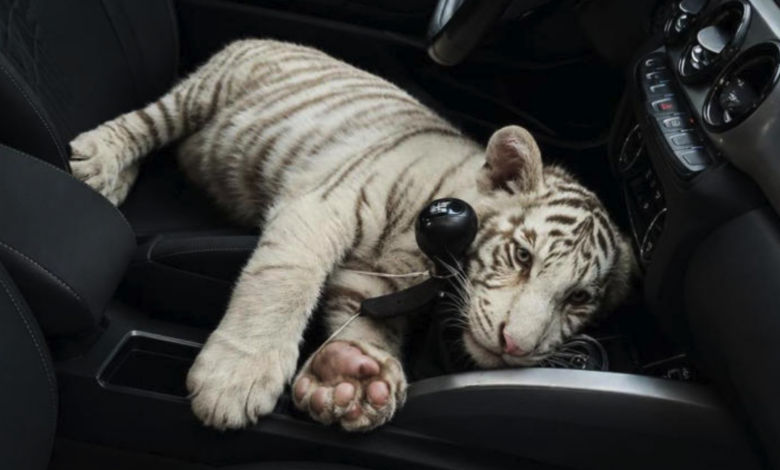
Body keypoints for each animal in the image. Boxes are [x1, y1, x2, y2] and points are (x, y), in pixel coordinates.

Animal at [69, 39, 636, 432]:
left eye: (578, 299)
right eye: (521, 255)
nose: (515, 346)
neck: (424, 257)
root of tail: (273, 38)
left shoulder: (374, 280)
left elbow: (366, 324)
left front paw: (352, 377)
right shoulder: (322, 206)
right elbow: (283, 283)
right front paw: (235, 379)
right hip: (203, 92)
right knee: (146, 122)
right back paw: (98, 163)